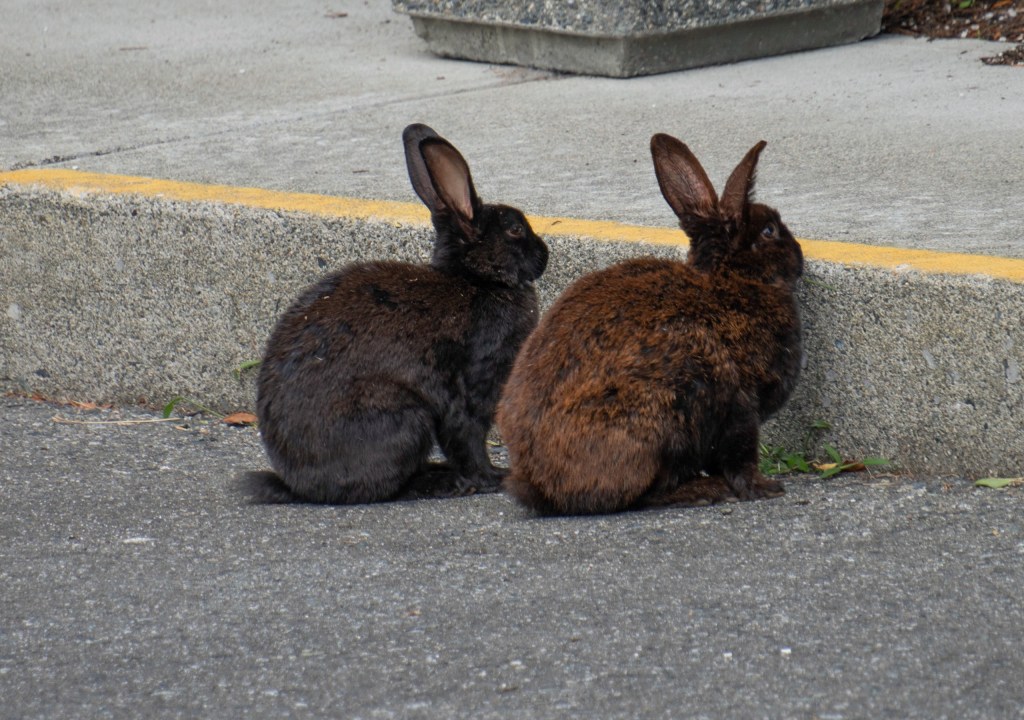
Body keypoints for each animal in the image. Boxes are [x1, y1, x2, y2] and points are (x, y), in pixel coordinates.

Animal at [241, 123, 548, 504]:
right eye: (515, 229)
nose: (545, 255)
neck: (478, 280)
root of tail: (300, 484)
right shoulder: (471, 384)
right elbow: (467, 437)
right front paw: (494, 477)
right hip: (404, 417)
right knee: (387, 486)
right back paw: (448, 483)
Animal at [496, 135, 803, 515]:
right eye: (769, 230)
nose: (800, 256)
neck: (731, 281)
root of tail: (542, 485)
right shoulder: (741, 405)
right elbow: (740, 457)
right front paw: (764, 488)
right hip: (666, 412)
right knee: (645, 493)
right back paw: (702, 491)